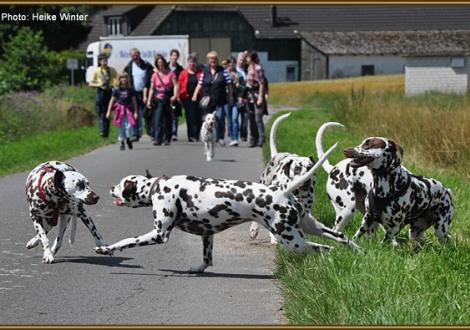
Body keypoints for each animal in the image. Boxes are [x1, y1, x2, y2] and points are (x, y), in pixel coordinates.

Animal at [93, 142, 340, 274]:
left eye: (121, 184)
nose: (110, 189)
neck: (158, 187)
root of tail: (282, 191)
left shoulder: (158, 234)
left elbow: (126, 241)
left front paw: (106, 249)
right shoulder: (207, 234)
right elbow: (206, 259)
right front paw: (198, 269)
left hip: (293, 241)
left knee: (325, 249)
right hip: (314, 229)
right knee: (342, 239)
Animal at [250, 112, 356, 249]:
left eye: (310, 167)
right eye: (297, 169)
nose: (306, 181)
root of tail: (276, 155)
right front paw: (273, 237)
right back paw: (254, 229)